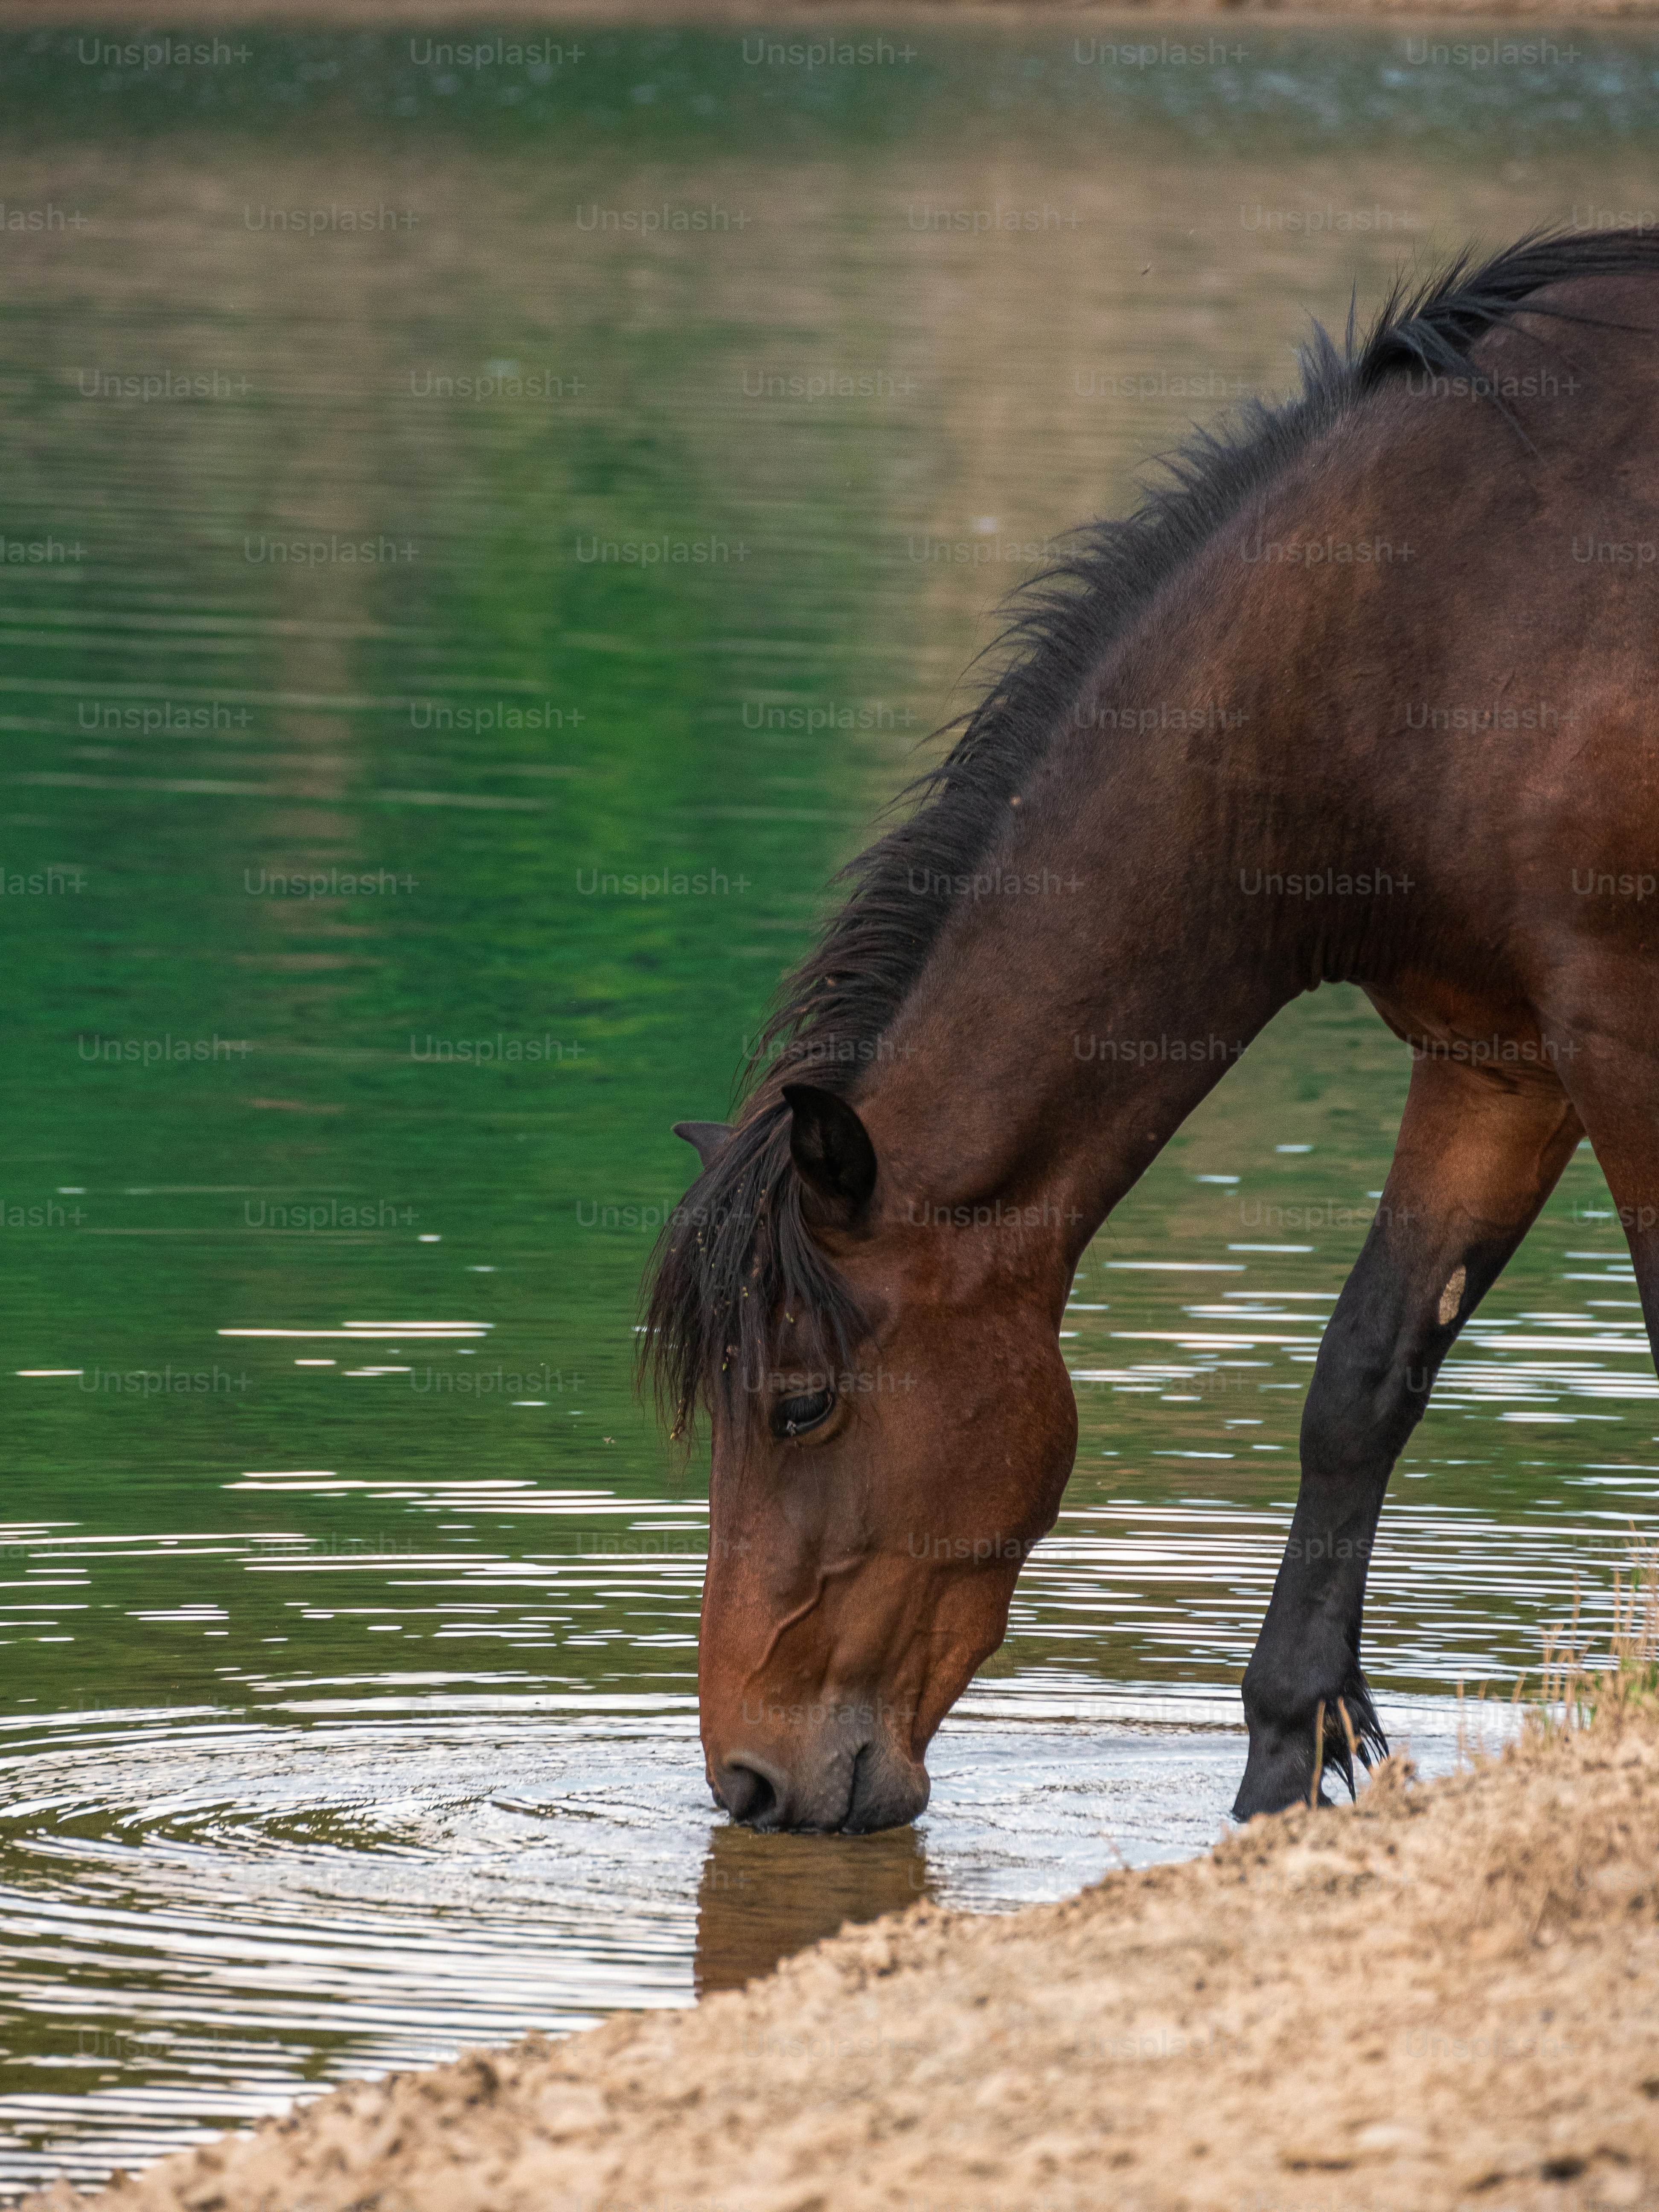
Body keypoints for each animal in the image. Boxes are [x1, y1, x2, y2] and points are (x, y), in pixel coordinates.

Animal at [645, 229, 1659, 1833]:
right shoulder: (1497, 1058)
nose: (750, 1783)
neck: (1432, 607)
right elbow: (1361, 1378)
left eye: (800, 1408)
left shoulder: (1620, 1030)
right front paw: (1283, 1760)